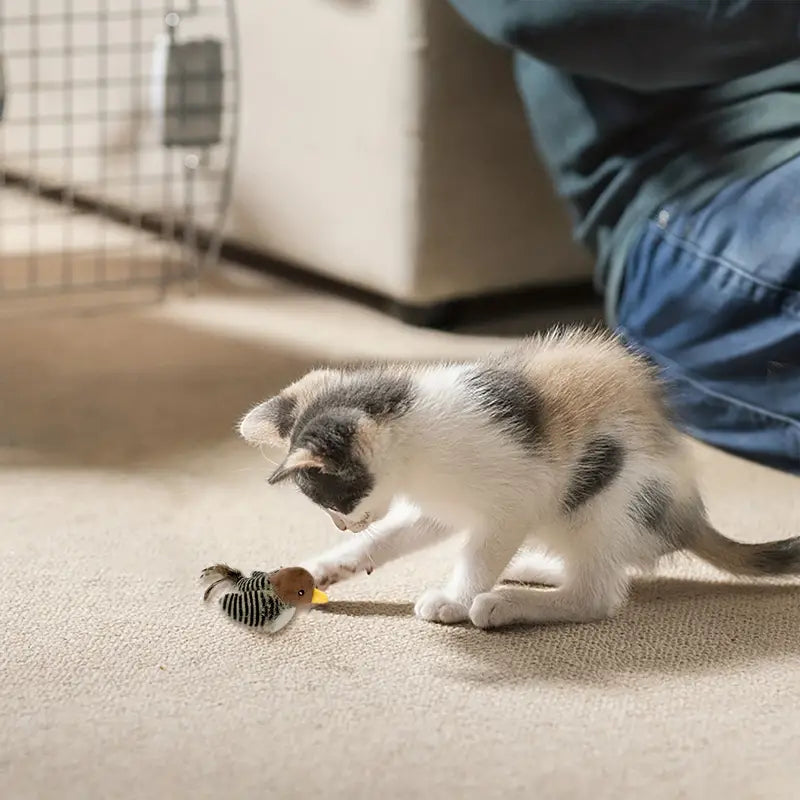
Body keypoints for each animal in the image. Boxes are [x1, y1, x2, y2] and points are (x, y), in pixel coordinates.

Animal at [238, 328, 800, 628]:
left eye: (337, 499)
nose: (341, 525)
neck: (415, 435)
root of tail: (688, 517)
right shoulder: (439, 507)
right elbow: (392, 537)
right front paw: (326, 567)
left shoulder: (516, 496)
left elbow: (481, 552)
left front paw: (456, 599)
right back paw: (537, 568)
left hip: (609, 495)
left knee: (597, 596)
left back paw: (506, 603)